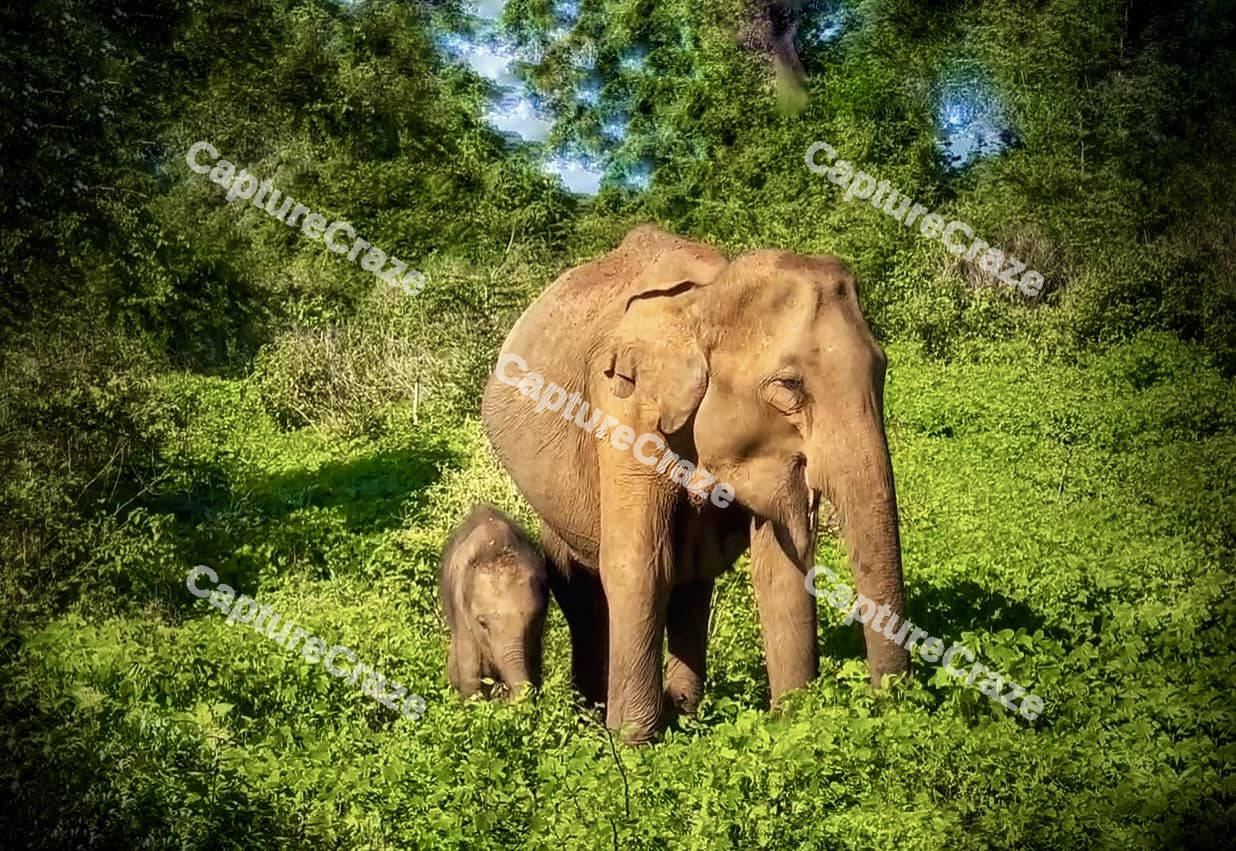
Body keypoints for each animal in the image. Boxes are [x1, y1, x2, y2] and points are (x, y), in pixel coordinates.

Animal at [481, 225, 909, 742]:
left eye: (883, 369)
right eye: (789, 386)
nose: (888, 702)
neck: (706, 299)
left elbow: (779, 567)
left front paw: (791, 724)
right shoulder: (625, 406)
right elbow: (638, 563)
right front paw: (633, 744)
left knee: (691, 579)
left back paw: (686, 712)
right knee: (581, 583)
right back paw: (594, 715)